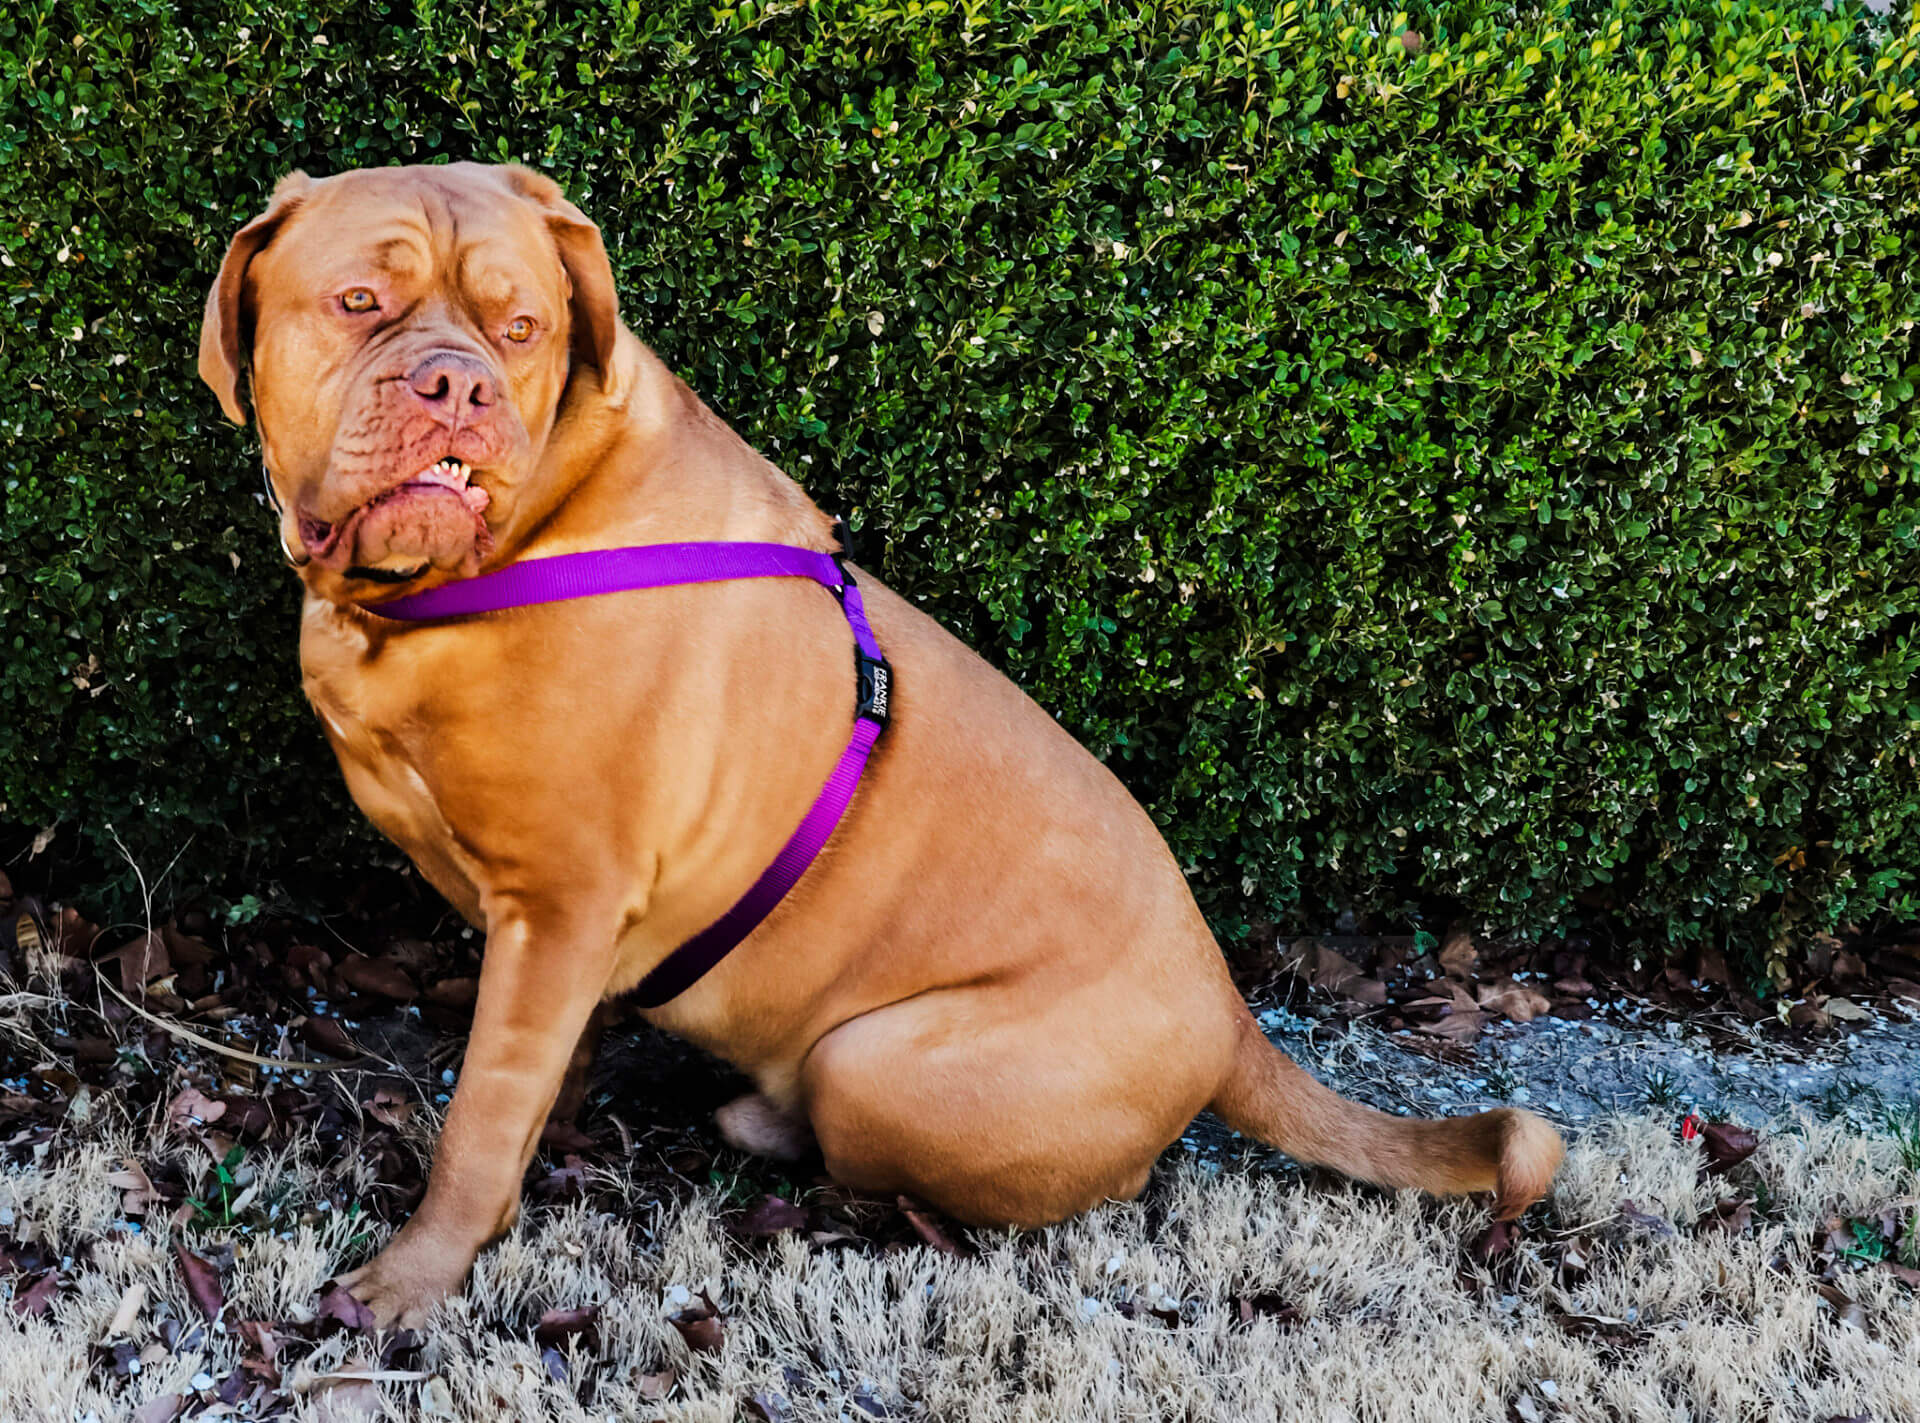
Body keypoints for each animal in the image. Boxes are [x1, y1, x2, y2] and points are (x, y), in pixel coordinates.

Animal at [194, 164, 1559, 1321]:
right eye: (359, 302)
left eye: (520, 328)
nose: (457, 385)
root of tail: (1232, 1015)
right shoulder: (562, 935)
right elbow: (541, 1075)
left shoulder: (561, 899)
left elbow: (480, 1117)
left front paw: (412, 1279)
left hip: (879, 1059)